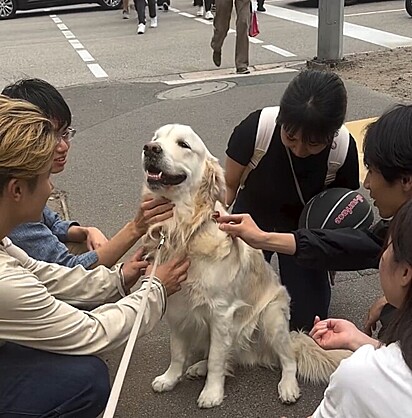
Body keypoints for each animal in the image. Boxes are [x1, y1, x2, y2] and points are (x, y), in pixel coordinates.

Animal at [140, 123, 350, 408]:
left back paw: (287, 386)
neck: (184, 229)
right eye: (156, 138)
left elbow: (217, 359)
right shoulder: (176, 306)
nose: (150, 149)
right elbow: (178, 350)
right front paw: (170, 378)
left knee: (287, 359)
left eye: (184, 144)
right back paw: (198, 367)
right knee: (230, 355)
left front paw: (212, 393)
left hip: (272, 319)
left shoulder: (221, 312)